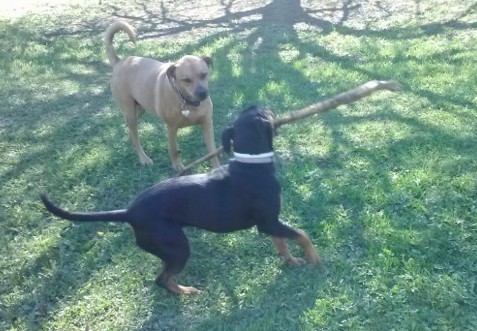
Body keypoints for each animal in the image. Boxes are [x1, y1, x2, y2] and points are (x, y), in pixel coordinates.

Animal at [41, 106, 320, 296]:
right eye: (263, 110)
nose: (269, 107)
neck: (251, 163)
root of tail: (129, 212)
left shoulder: (270, 222)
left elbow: (282, 242)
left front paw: (292, 261)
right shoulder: (268, 222)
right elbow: (302, 234)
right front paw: (314, 258)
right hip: (177, 248)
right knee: (161, 279)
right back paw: (185, 291)